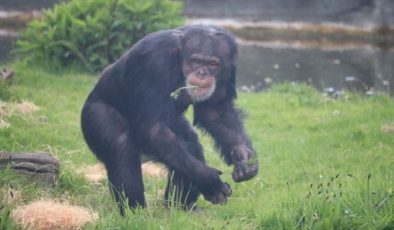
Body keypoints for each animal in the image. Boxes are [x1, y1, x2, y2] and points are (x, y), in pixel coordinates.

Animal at [81, 25, 258, 214]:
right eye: (196, 61)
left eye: (213, 64)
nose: (202, 73)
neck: (179, 59)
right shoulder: (154, 61)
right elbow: (153, 129)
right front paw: (210, 181)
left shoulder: (229, 67)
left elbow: (216, 111)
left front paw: (244, 157)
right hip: (93, 114)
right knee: (120, 144)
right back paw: (136, 213)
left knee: (188, 147)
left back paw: (182, 207)